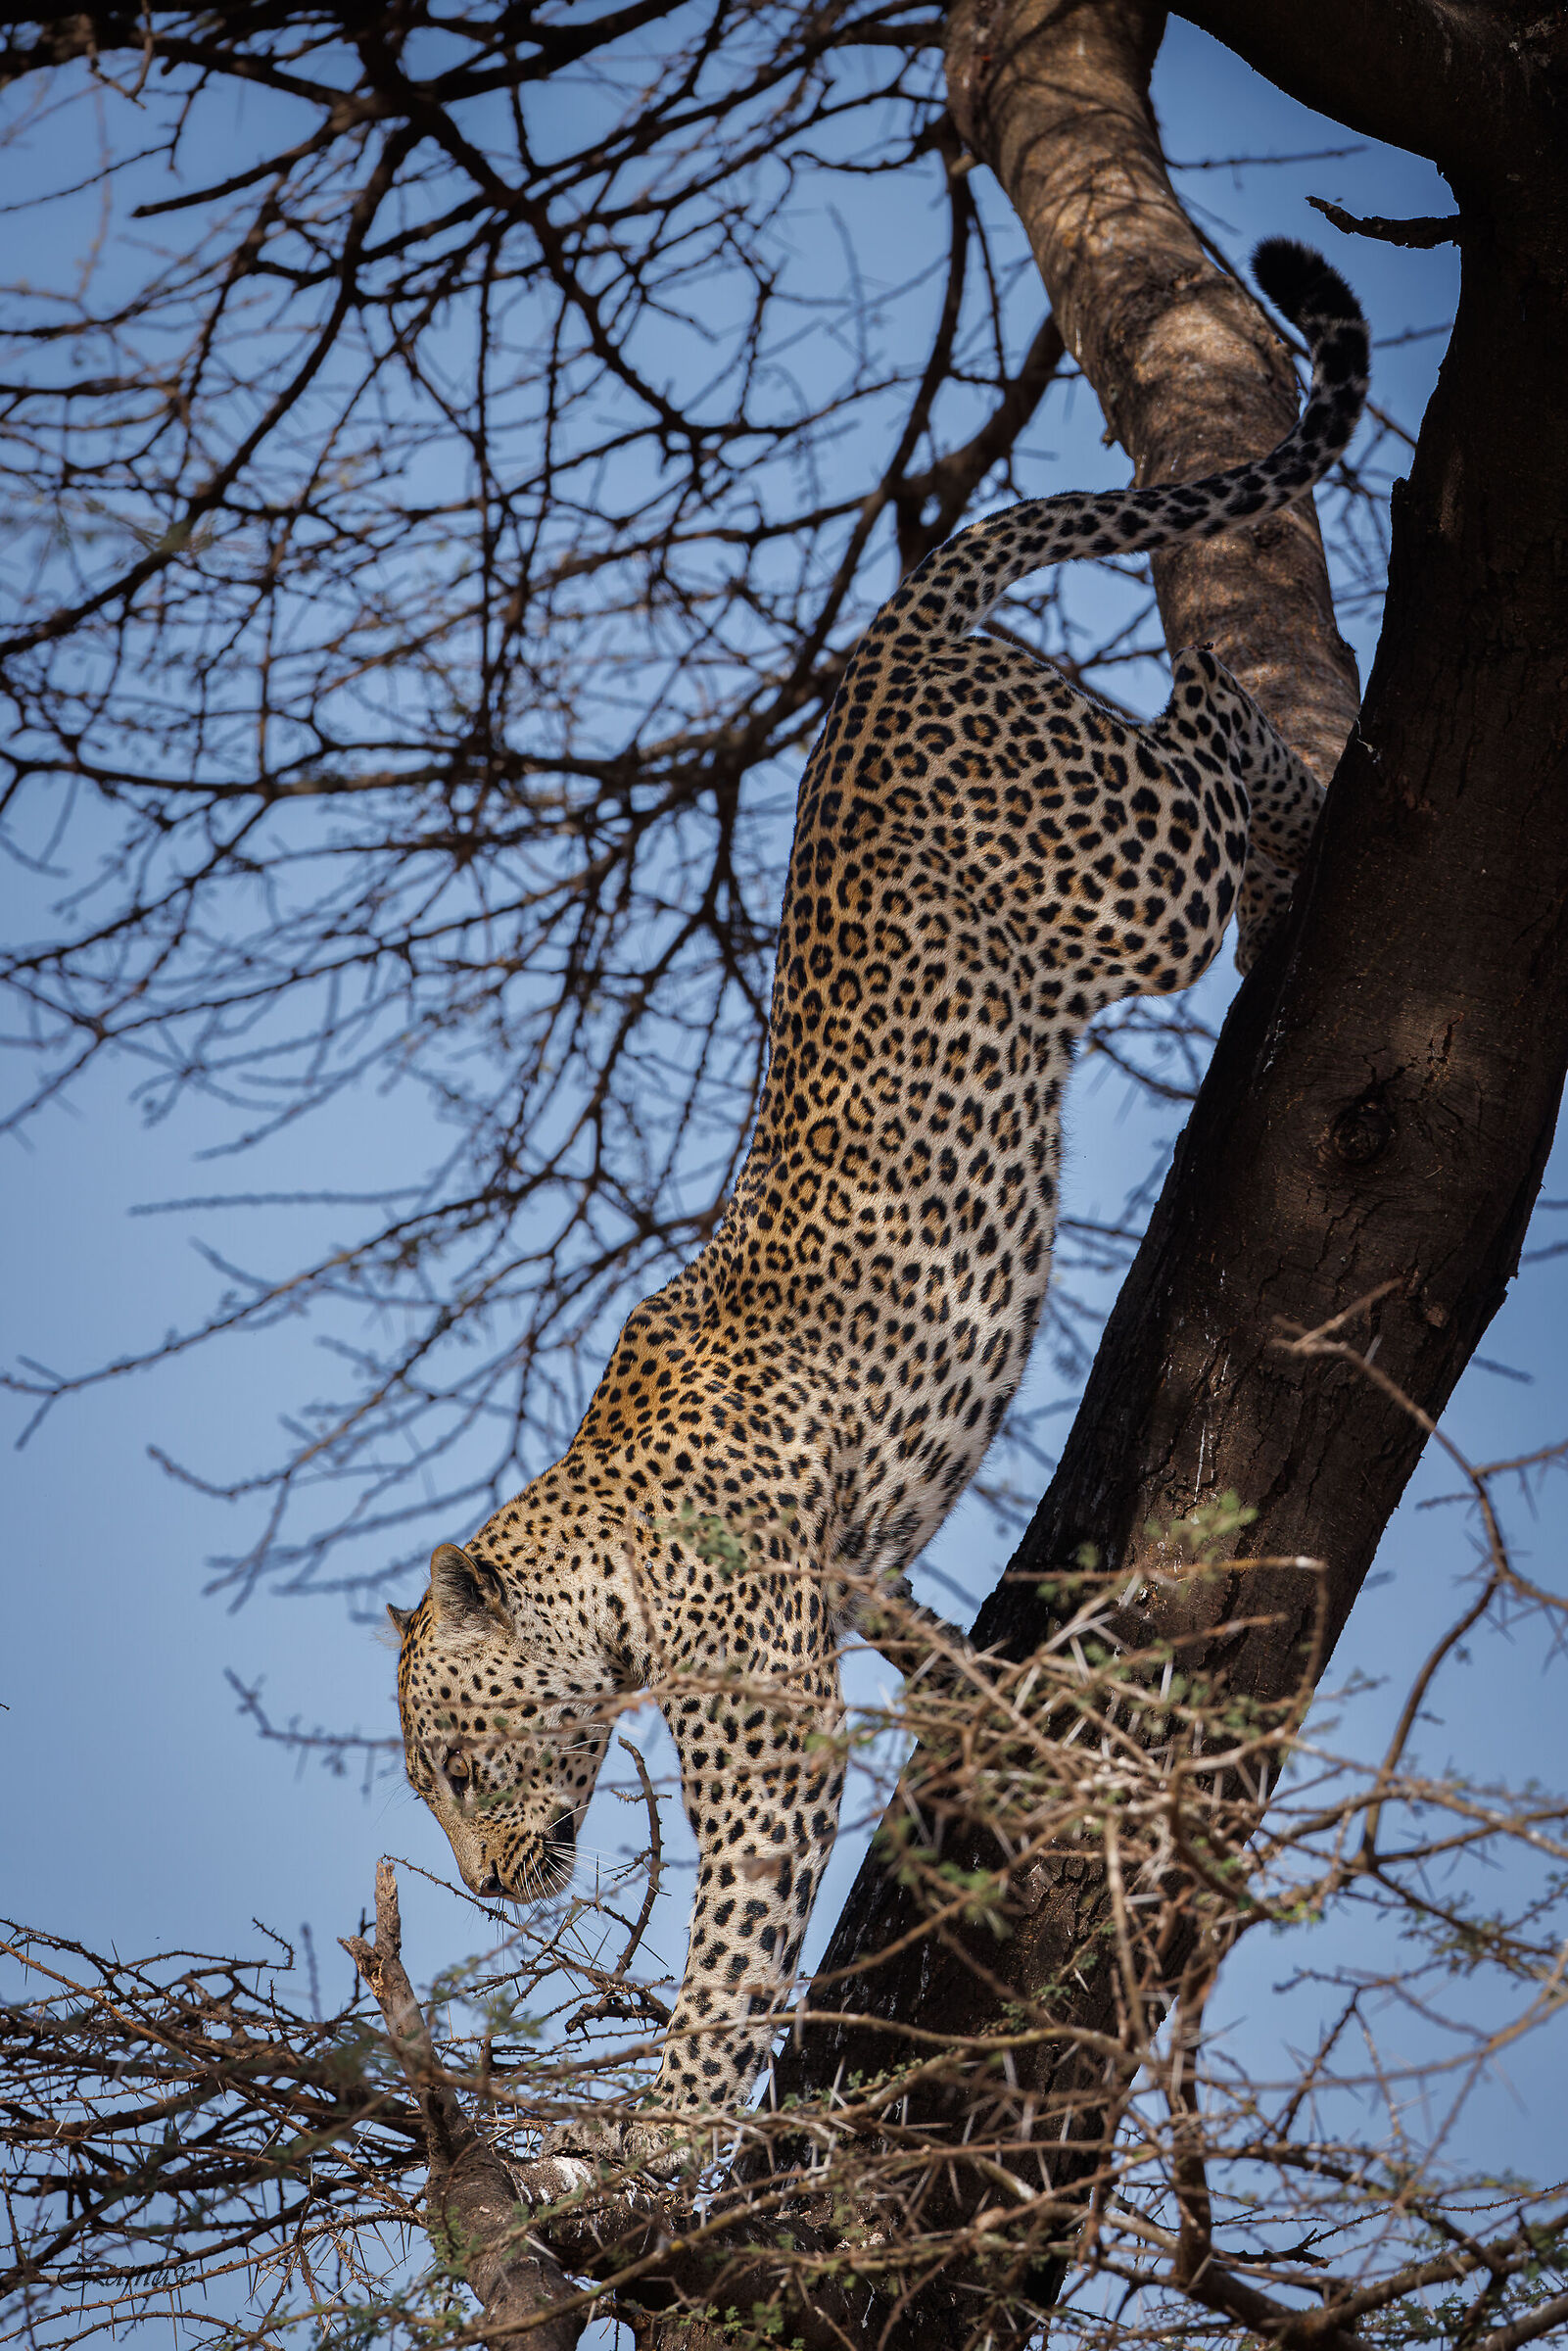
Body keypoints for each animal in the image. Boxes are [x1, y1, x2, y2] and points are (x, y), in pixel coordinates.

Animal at [389, 239, 1367, 2151]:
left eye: (459, 1767)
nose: (482, 1890)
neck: (604, 1558)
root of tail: (877, 647)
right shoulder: (855, 1581)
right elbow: (958, 1669)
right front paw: (1028, 1734)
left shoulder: (770, 1742)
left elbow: (724, 1982)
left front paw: (648, 2167)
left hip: (1125, 878)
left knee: (1210, 711)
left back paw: (1293, 802)